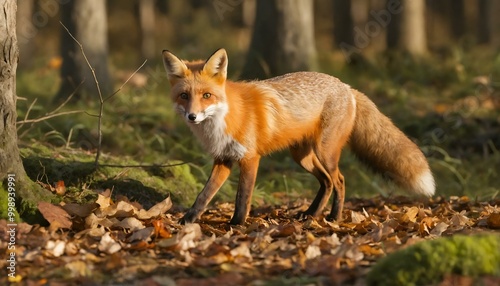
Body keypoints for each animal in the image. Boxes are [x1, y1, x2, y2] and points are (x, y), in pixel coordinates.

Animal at [162, 48, 436, 225]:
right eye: (184, 96)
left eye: (207, 96)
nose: (192, 117)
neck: (223, 119)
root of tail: (347, 87)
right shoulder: (223, 159)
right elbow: (204, 194)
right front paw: (187, 220)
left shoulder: (250, 158)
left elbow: (243, 197)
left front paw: (236, 225)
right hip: (301, 156)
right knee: (326, 183)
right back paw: (311, 215)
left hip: (325, 152)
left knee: (339, 180)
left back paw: (333, 217)